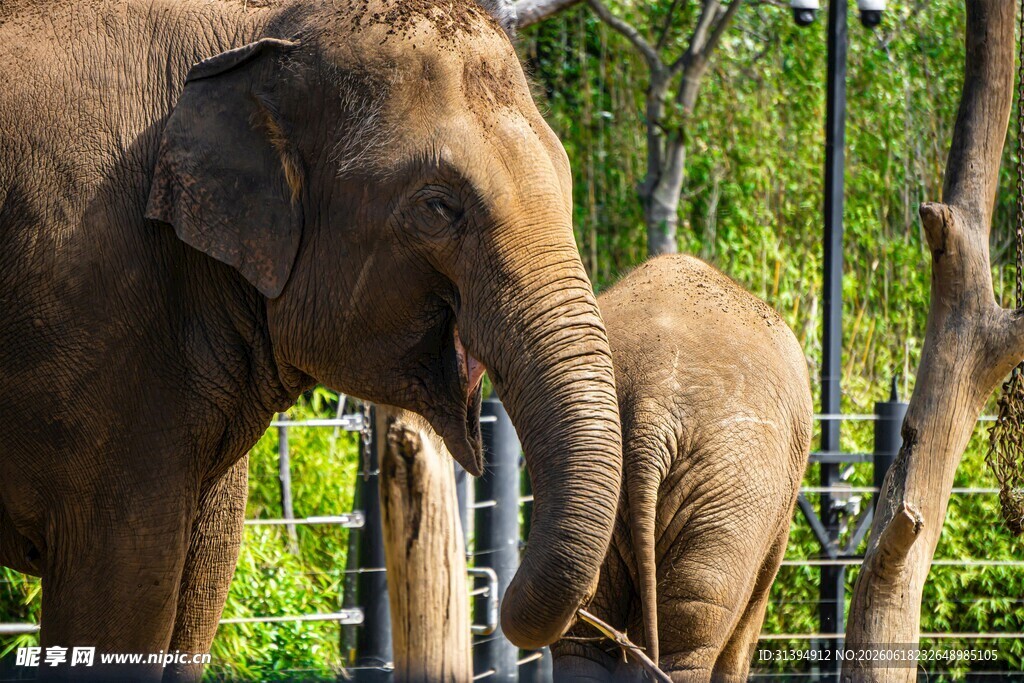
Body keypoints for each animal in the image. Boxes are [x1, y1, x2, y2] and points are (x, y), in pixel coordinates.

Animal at [0, 1, 624, 679]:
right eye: (439, 206)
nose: (493, 596)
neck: (253, 26)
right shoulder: (96, 297)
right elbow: (124, 589)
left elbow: (202, 574)